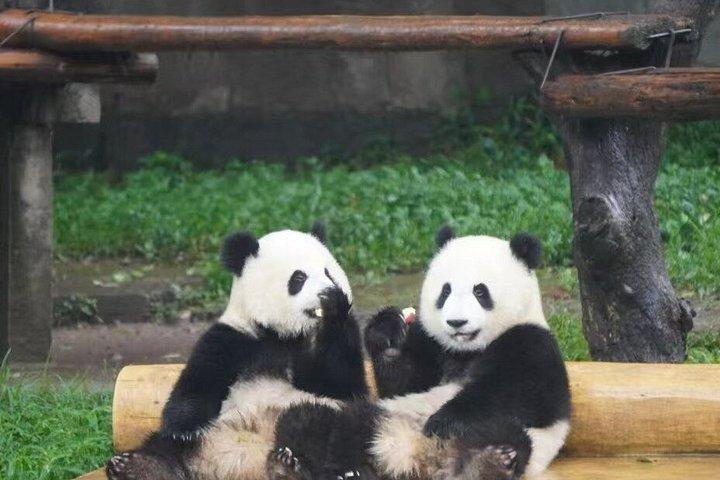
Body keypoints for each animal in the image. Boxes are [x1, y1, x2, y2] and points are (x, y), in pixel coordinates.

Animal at [105, 224, 368, 480]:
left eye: (328, 273)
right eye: (299, 277)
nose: (327, 291)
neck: (284, 335)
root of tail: (243, 465)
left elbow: (340, 382)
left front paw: (335, 306)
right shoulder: (234, 338)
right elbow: (199, 381)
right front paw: (184, 430)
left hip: (316, 417)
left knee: (312, 423)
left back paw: (290, 468)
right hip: (207, 435)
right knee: (164, 448)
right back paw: (138, 467)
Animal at [270, 227, 570, 480]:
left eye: (480, 291)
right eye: (446, 291)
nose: (457, 322)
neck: (467, 350)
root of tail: (410, 459)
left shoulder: (531, 341)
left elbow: (523, 393)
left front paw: (443, 421)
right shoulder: (434, 346)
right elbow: (403, 383)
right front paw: (388, 331)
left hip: (506, 439)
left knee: (508, 435)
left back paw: (489, 461)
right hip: (373, 417)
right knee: (318, 421)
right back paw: (313, 467)